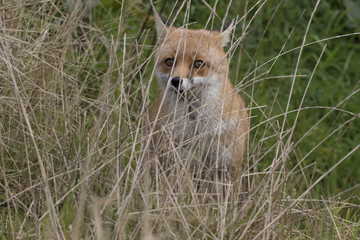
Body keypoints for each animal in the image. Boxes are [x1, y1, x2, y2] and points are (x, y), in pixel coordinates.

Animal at [145, 10, 249, 184]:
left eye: (198, 63)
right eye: (169, 61)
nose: (175, 81)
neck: (197, 127)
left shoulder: (229, 166)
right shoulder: (180, 163)